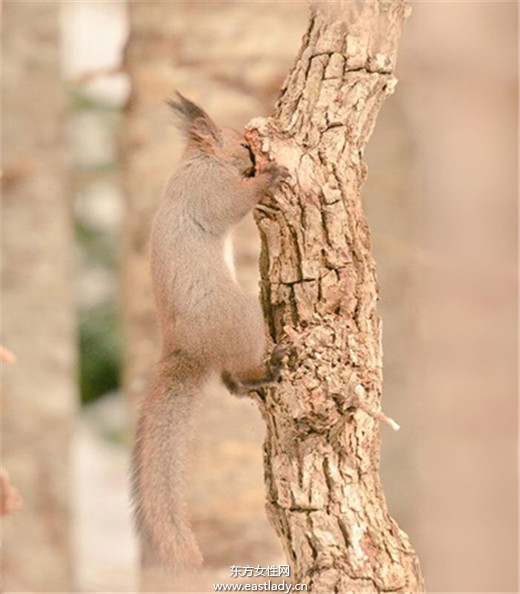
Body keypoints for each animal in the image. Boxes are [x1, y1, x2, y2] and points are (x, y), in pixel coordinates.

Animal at [130, 92, 290, 568]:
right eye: (242, 144)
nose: (257, 159)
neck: (199, 160)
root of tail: (186, 348)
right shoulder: (208, 190)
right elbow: (230, 205)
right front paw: (269, 179)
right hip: (241, 317)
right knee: (239, 373)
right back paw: (268, 368)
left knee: (230, 381)